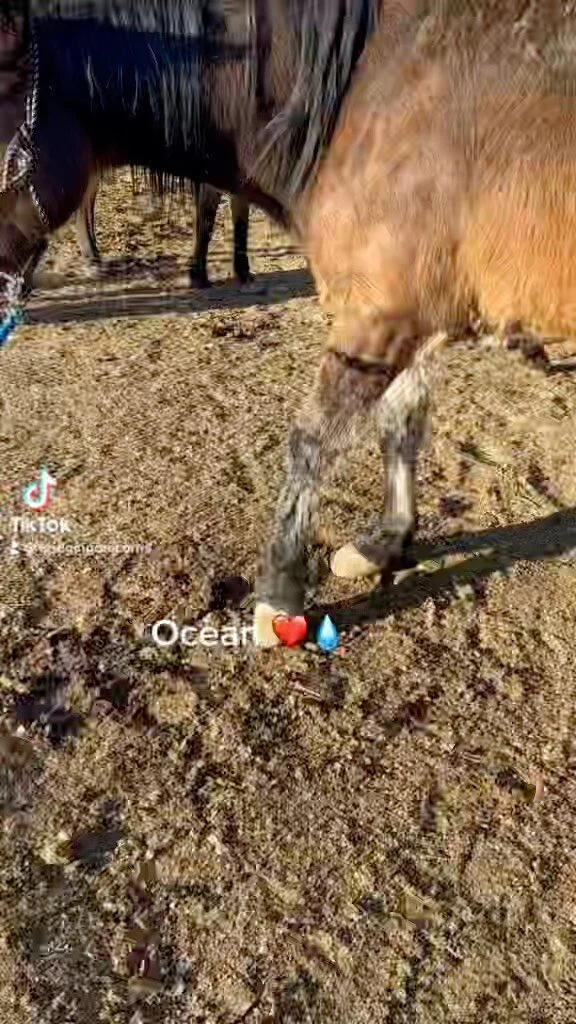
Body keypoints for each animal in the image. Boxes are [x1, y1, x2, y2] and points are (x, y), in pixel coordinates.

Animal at [1, 1, 575, 649]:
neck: (369, 94)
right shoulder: (414, 321)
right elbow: (400, 426)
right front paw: (386, 542)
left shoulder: (378, 319)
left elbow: (310, 442)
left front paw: (279, 596)